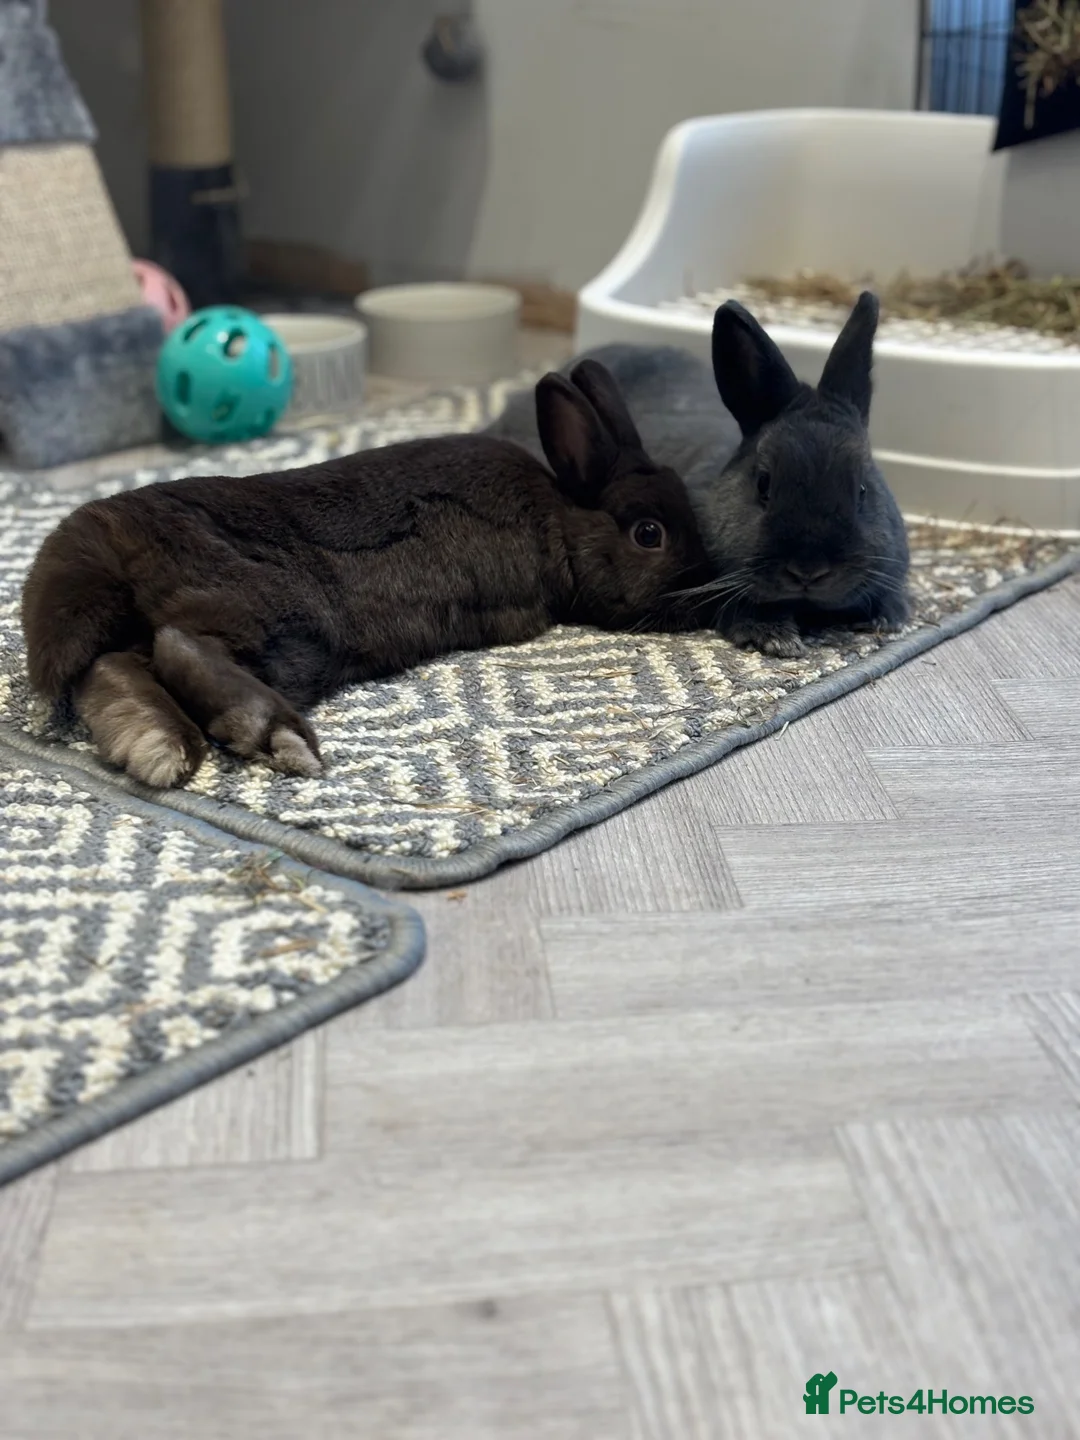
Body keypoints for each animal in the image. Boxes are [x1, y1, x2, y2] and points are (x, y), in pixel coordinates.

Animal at [21, 359, 711, 790]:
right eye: (649, 534)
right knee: (181, 646)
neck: (562, 516)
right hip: (283, 623)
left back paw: (158, 748)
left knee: (114, 666)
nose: (703, 584)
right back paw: (278, 737)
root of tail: (100, 547)